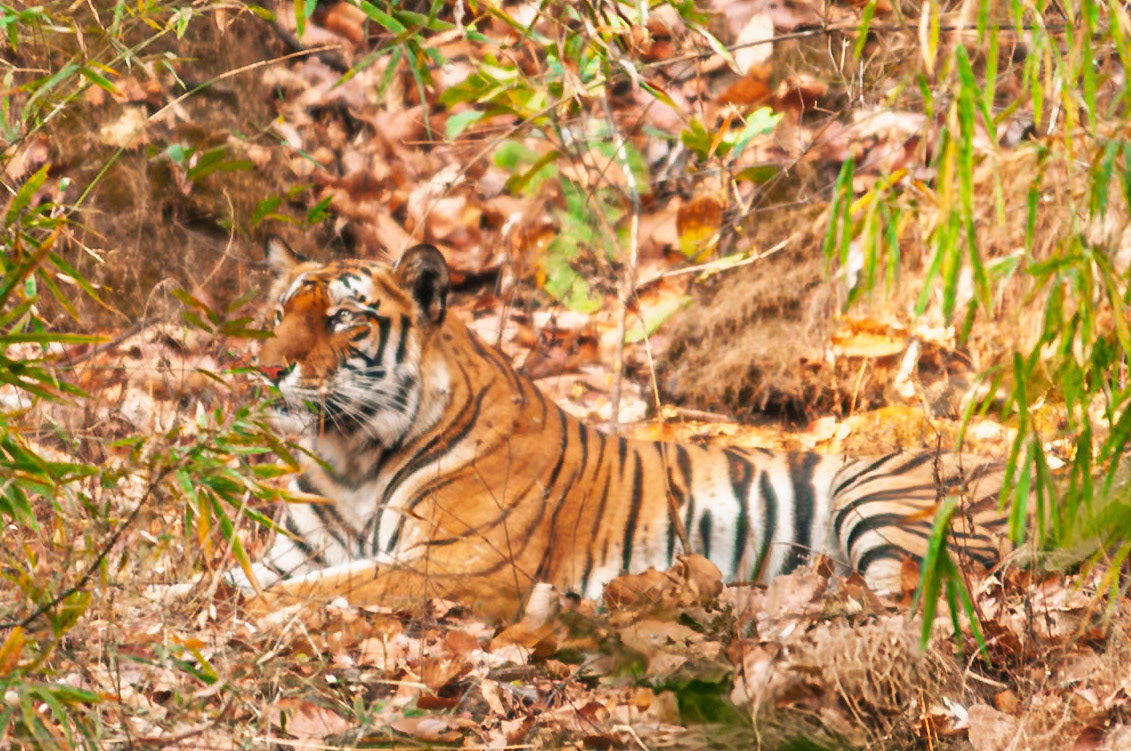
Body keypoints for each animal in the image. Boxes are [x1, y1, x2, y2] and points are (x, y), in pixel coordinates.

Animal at [224, 236, 1014, 620]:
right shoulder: (293, 551)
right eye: (279, 314)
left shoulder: (459, 564)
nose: (263, 369)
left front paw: (250, 617)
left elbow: (325, 590)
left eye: (342, 319)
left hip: (873, 495)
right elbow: (231, 580)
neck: (352, 455)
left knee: (909, 601)